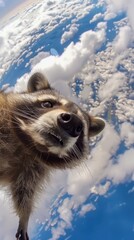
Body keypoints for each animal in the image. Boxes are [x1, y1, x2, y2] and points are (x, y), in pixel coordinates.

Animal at [0, 72, 104, 239]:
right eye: (48, 104)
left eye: (81, 128)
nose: (72, 123)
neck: (28, 144)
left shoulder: (31, 169)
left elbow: (23, 192)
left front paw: (24, 216)